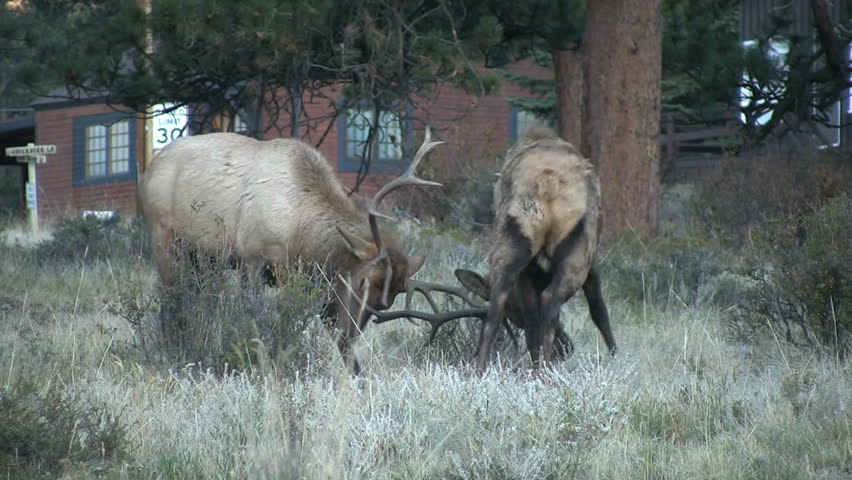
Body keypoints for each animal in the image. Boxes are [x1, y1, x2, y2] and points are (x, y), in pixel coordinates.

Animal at [370, 125, 616, 370]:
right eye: (514, 316)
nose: (566, 347)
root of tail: (546, 183)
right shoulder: (591, 264)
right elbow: (599, 309)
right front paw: (614, 355)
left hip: (509, 244)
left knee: (498, 307)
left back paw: (485, 369)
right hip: (578, 252)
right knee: (549, 301)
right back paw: (544, 371)